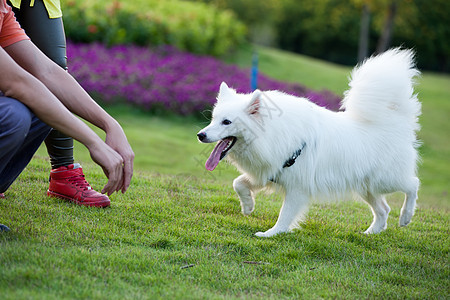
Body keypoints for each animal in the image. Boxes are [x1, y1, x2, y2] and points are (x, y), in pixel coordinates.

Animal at [198, 48, 422, 237]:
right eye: (213, 119)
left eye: (227, 122)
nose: (200, 135)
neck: (273, 134)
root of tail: (394, 121)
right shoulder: (269, 171)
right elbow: (238, 183)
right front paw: (248, 206)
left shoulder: (297, 188)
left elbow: (284, 215)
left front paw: (271, 233)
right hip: (366, 186)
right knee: (384, 209)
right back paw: (371, 233)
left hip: (386, 179)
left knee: (413, 184)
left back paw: (406, 217)